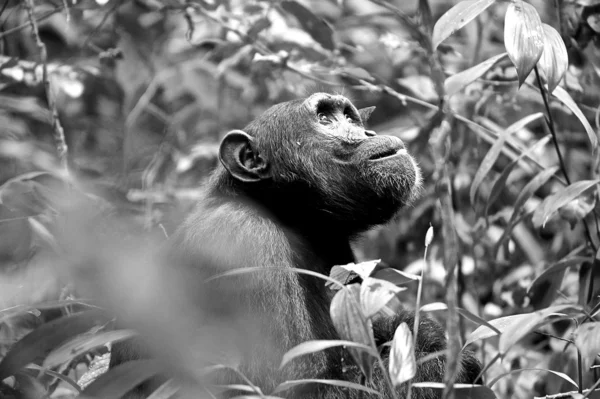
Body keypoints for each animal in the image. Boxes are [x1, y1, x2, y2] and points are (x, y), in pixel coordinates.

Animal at [110, 94, 480, 399]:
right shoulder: (245, 241)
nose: (368, 132)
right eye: (326, 118)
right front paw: (428, 342)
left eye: (350, 116)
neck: (291, 218)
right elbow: (288, 388)